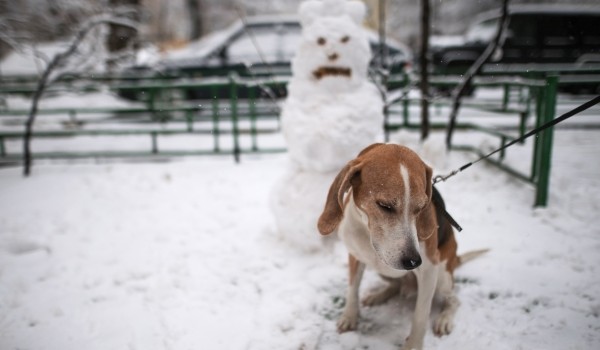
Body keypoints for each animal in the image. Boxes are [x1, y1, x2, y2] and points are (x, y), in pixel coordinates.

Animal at [318, 143, 482, 350]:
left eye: (421, 207)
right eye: (384, 205)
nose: (413, 262)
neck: (369, 233)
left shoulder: (429, 269)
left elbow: (421, 314)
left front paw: (413, 345)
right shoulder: (355, 255)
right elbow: (352, 289)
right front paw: (350, 316)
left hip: (442, 278)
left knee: (454, 300)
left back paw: (445, 319)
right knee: (395, 285)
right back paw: (378, 296)